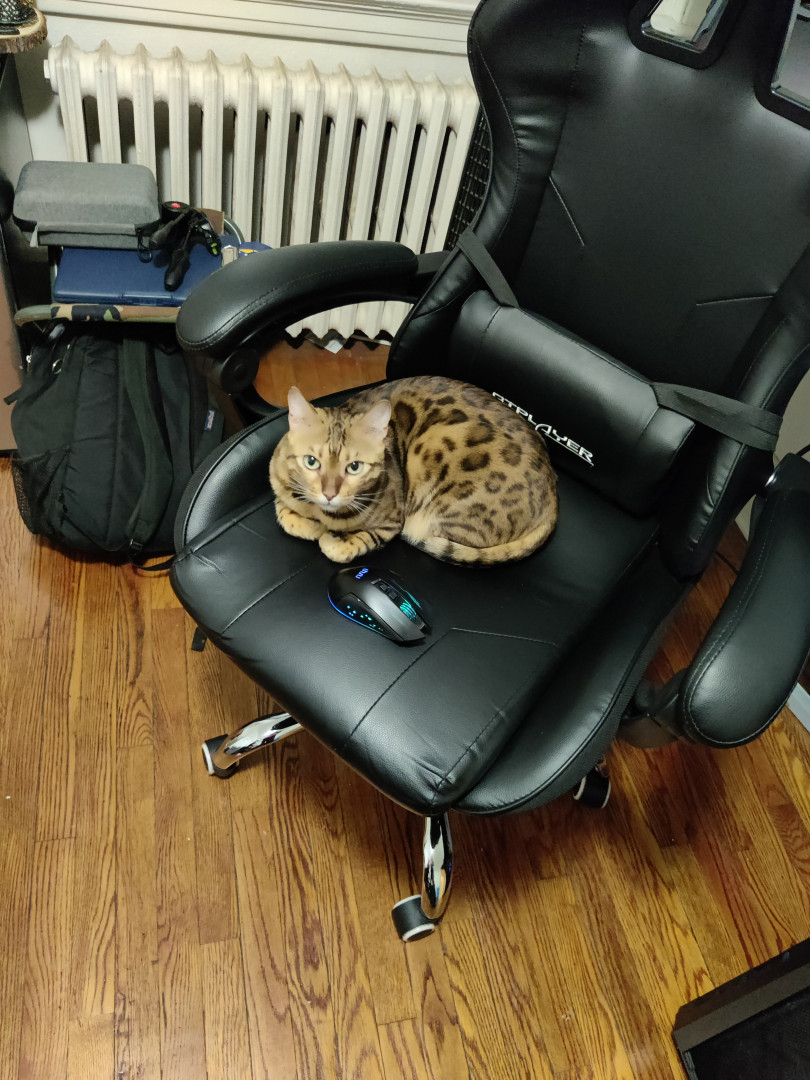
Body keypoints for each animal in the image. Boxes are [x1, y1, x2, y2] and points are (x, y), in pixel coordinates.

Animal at [269, 375, 558, 566]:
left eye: (354, 467)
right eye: (311, 462)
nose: (329, 493)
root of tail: (554, 498)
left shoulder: (393, 521)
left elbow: (352, 542)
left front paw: (331, 538)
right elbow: (284, 511)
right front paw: (308, 523)